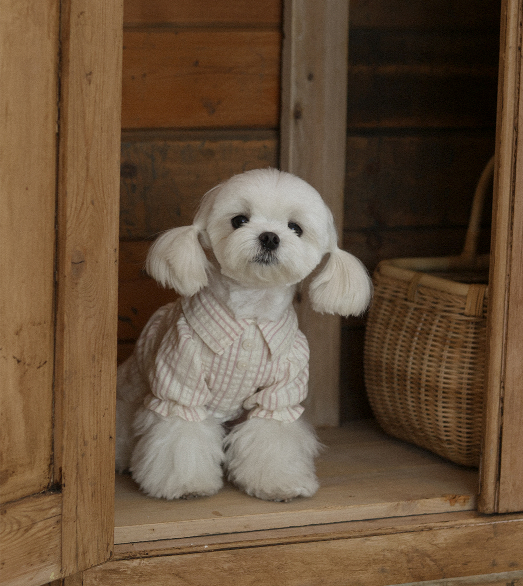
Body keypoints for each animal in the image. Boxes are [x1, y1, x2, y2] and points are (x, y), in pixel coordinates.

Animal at [115, 167, 372, 500]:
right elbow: (181, 435)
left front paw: (279, 483)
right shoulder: (180, 385)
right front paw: (185, 485)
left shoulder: (279, 396)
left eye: (295, 228)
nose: (270, 237)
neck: (251, 313)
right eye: (239, 220)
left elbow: (270, 436)